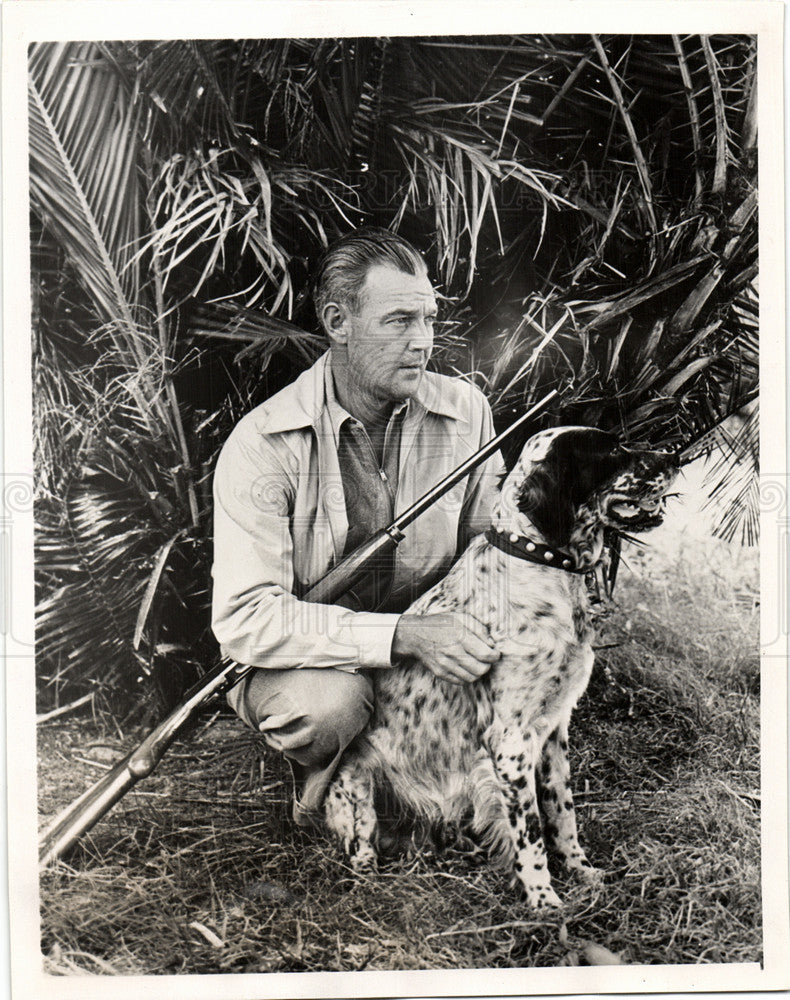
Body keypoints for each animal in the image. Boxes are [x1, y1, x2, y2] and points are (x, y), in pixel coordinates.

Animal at [324, 426, 680, 912]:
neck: (539, 561)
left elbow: (562, 813)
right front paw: (545, 901)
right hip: (354, 784)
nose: (674, 455)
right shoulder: (511, 741)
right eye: (611, 450)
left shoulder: (554, 731)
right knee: (361, 845)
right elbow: (530, 833)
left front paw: (581, 871)